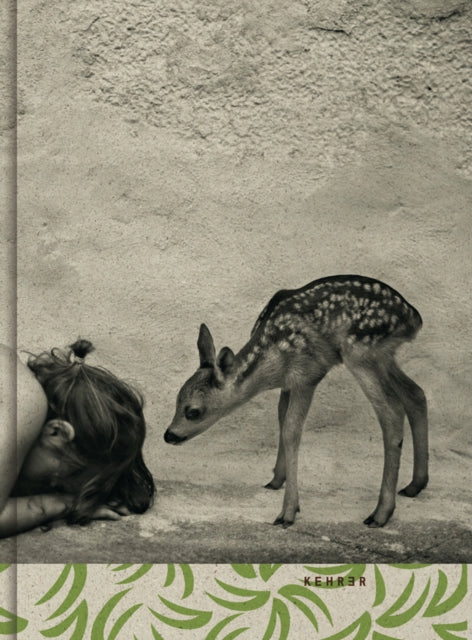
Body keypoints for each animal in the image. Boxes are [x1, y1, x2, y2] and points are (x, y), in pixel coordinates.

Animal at [164, 275, 428, 528]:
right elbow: (281, 419)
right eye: (176, 400)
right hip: (383, 355)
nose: (169, 435)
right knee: (416, 394)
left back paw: (380, 513)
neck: (271, 363)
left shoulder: (307, 374)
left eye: (193, 411)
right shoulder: (288, 384)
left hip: (361, 351)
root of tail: (414, 318)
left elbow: (291, 430)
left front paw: (288, 512)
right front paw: (276, 480)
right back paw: (415, 485)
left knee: (392, 412)